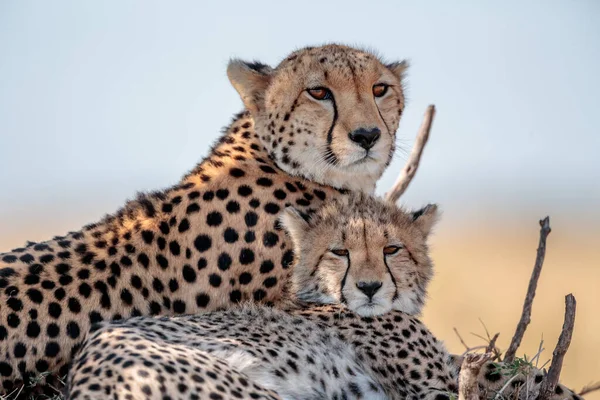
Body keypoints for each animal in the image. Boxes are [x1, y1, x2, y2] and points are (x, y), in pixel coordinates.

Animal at [68, 195, 584, 400]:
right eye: (340, 251)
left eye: (391, 249)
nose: (370, 287)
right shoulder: (433, 386)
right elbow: (524, 378)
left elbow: (518, 371)